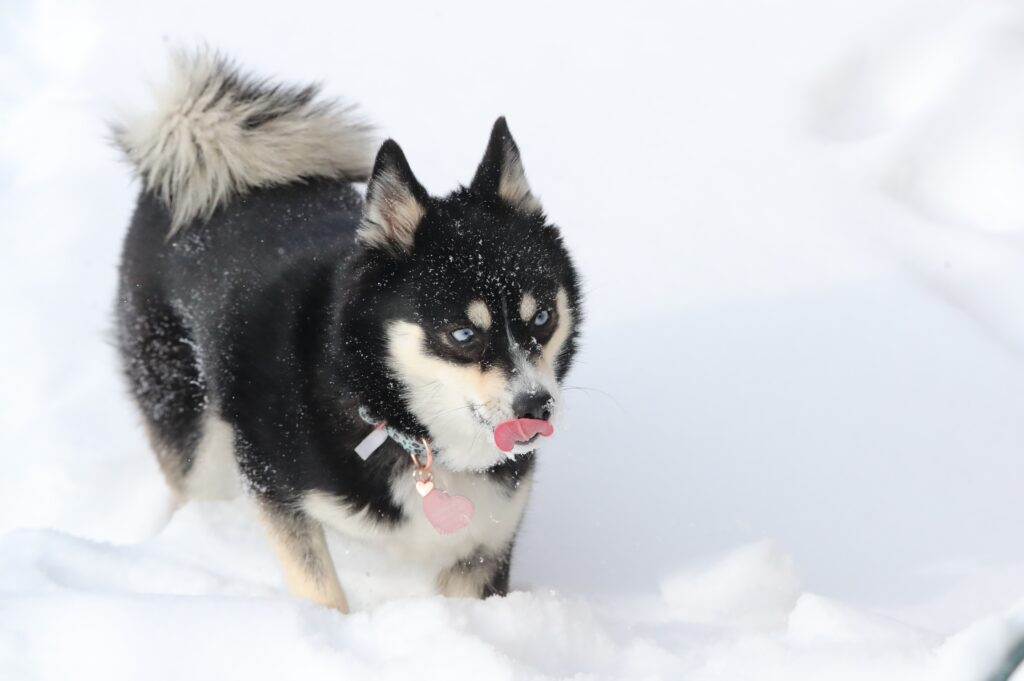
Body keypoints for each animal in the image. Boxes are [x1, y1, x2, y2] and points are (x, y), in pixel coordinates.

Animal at [113, 50, 585, 606]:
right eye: (462, 335)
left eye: (543, 317)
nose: (537, 407)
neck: (393, 418)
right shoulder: (273, 483)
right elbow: (320, 588)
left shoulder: (485, 542)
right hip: (190, 430)